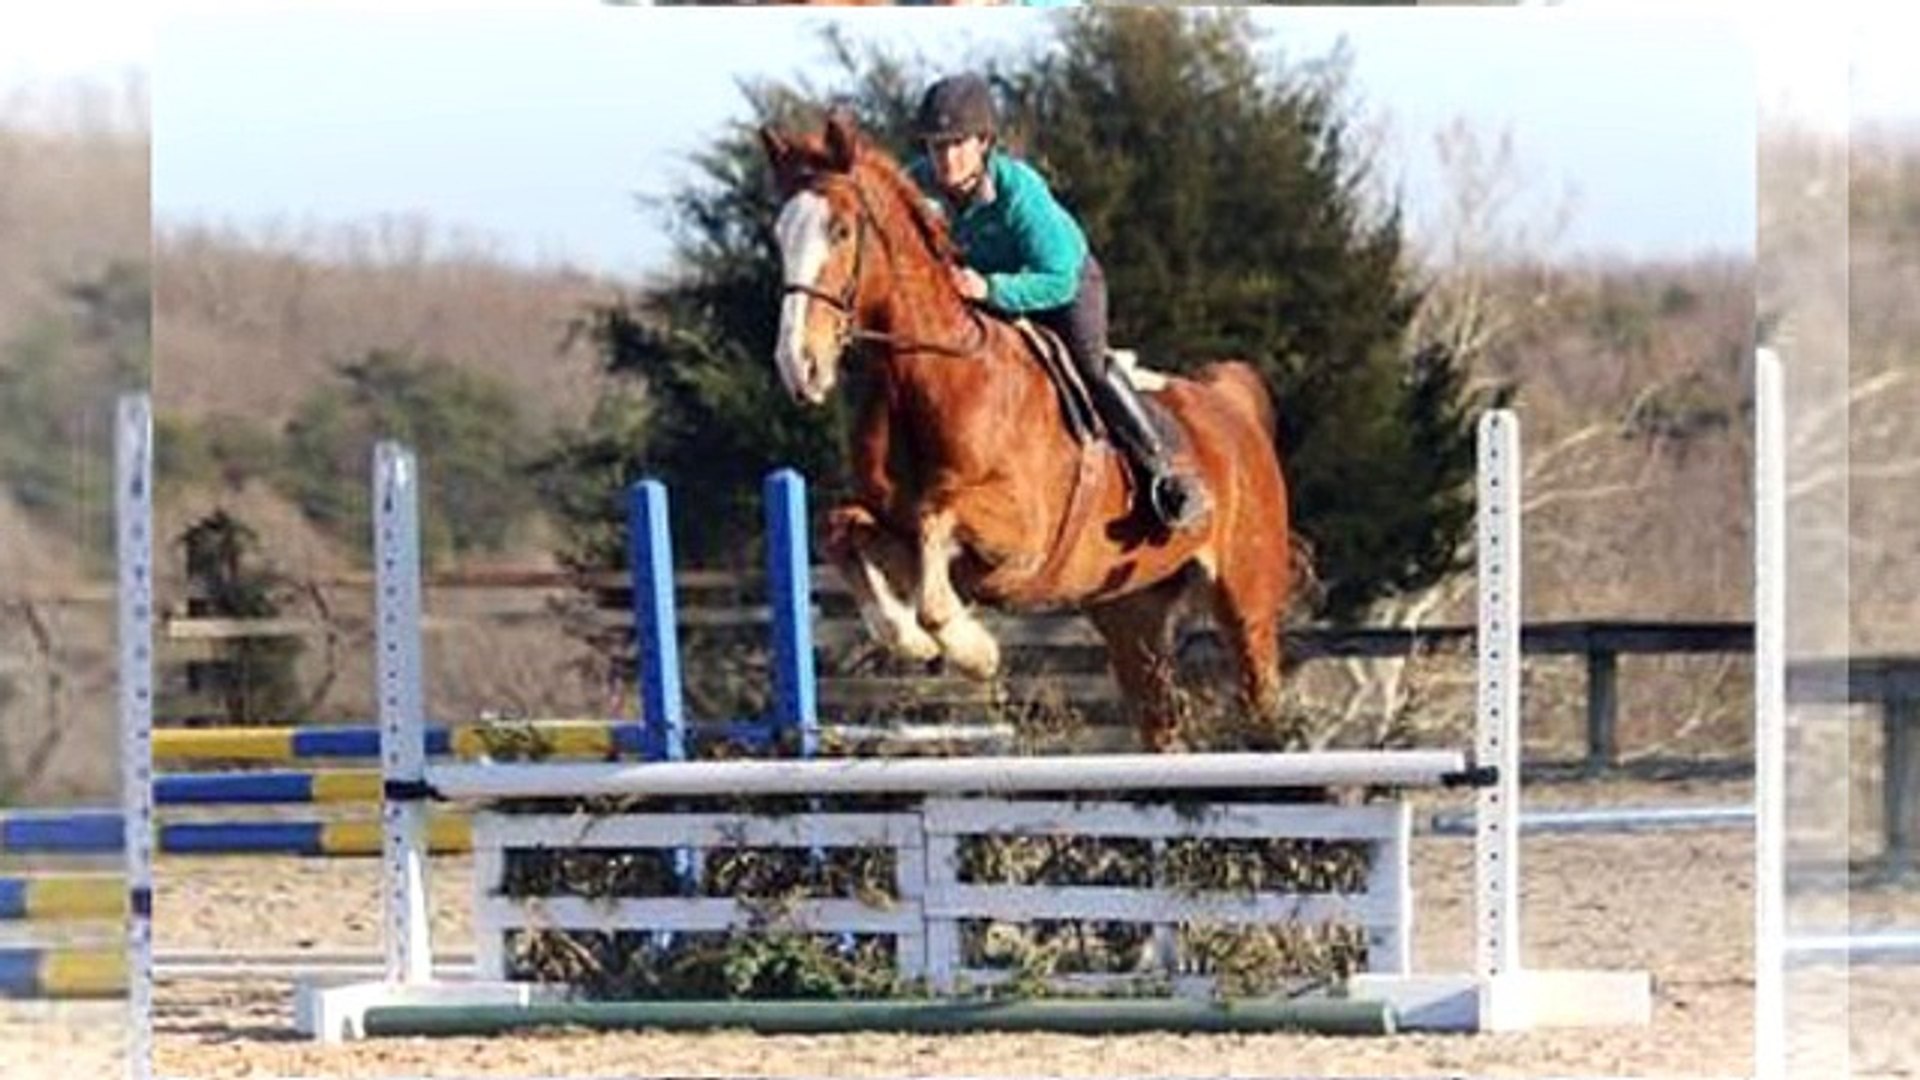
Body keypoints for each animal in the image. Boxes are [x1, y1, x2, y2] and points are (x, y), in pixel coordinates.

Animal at [758, 112, 1291, 751]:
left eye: (840, 231)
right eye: (778, 237)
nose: (798, 367)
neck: (931, 378)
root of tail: (1230, 404)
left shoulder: (1020, 538)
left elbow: (937, 524)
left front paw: (973, 650)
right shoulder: (890, 523)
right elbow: (841, 530)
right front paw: (912, 637)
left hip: (1246, 600)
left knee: (1261, 699)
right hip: (1131, 613)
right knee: (1159, 720)